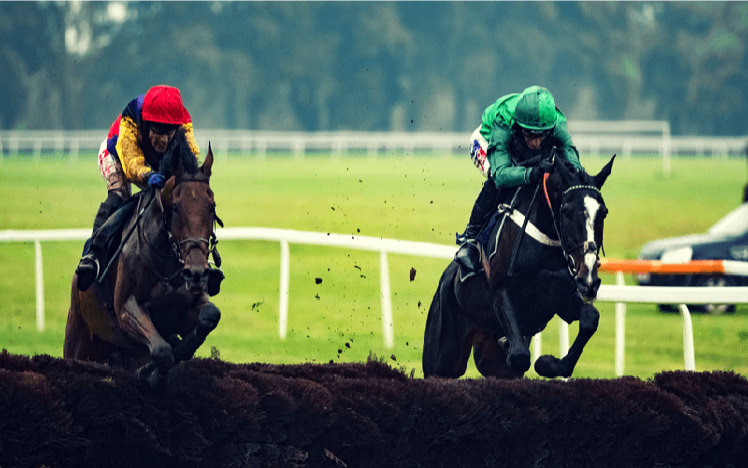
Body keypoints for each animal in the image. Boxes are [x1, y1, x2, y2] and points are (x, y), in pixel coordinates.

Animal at [65, 133, 222, 386]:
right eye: (175, 207)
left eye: (211, 207)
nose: (197, 272)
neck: (167, 266)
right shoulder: (126, 310)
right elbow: (161, 351)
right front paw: (148, 373)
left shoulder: (184, 309)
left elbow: (208, 316)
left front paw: (178, 353)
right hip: (80, 339)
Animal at [424, 155, 616, 378]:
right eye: (567, 212)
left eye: (603, 213)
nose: (589, 279)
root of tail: (447, 277)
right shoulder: (500, 293)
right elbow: (519, 355)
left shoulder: (562, 300)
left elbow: (590, 320)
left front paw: (548, 363)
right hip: (442, 356)